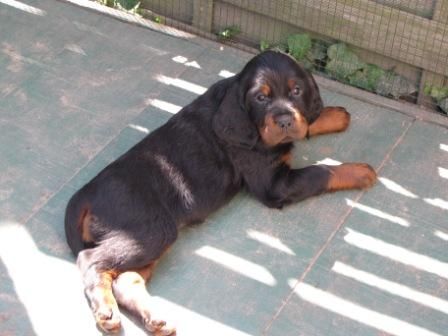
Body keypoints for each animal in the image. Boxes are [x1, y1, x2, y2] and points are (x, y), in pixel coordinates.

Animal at [65, 51, 376, 334]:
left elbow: (308, 123)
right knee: (91, 261)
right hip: (151, 229)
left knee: (125, 279)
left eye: (296, 91)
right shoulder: (273, 184)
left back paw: (155, 318)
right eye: (260, 98)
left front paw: (333, 115)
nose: (285, 121)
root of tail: (85, 195)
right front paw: (360, 171)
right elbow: (320, 172)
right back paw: (106, 311)